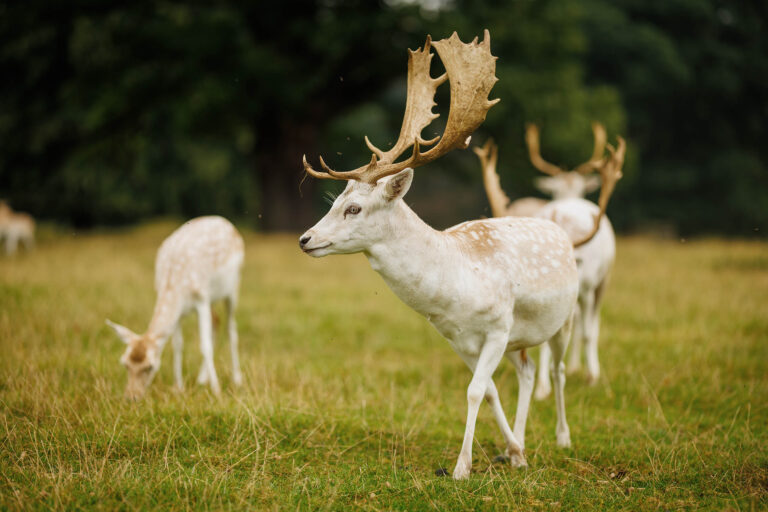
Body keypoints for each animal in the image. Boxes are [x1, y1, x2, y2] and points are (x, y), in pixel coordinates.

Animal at [106, 216, 244, 400]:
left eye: (150, 366)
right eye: (125, 363)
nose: (131, 397)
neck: (175, 285)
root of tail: (226, 222)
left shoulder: (201, 298)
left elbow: (204, 345)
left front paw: (217, 391)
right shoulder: (180, 313)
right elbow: (177, 345)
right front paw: (178, 387)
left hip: (233, 288)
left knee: (231, 328)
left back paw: (237, 379)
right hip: (213, 299)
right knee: (216, 321)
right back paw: (201, 379)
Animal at [474, 132, 625, 399]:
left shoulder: (586, 289)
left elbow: (587, 333)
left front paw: (592, 378)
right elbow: (545, 342)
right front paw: (542, 389)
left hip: (602, 281)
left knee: (592, 324)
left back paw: (589, 370)